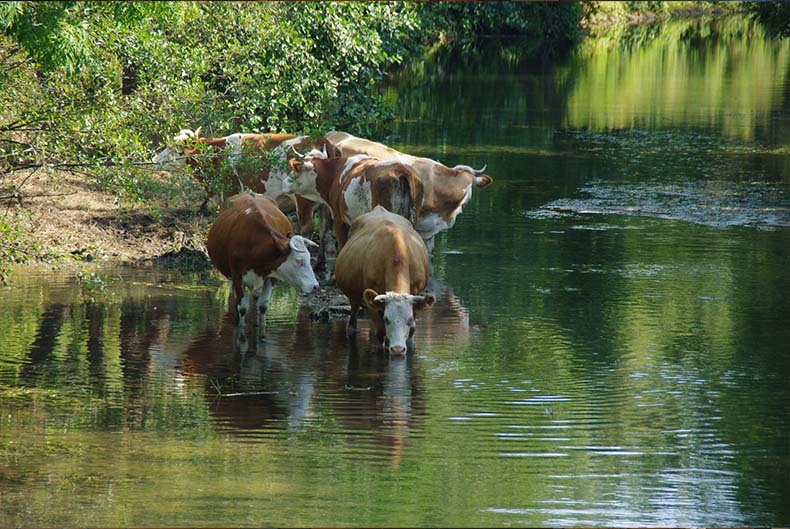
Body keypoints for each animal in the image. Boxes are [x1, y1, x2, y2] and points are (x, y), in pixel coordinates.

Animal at [155, 128, 332, 239]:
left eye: (173, 147)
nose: (155, 159)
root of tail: (322, 139)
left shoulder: (229, 192)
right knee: (326, 229)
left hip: (303, 200)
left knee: (308, 227)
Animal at [209, 190, 324, 330]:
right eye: (299, 261)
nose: (316, 286)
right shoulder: (237, 276)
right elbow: (242, 308)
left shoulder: (272, 275)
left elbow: (263, 306)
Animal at [332, 205, 436, 354]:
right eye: (387, 319)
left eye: (409, 319)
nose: (397, 349)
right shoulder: (373, 302)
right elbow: (380, 333)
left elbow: (411, 333)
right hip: (355, 298)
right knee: (353, 319)